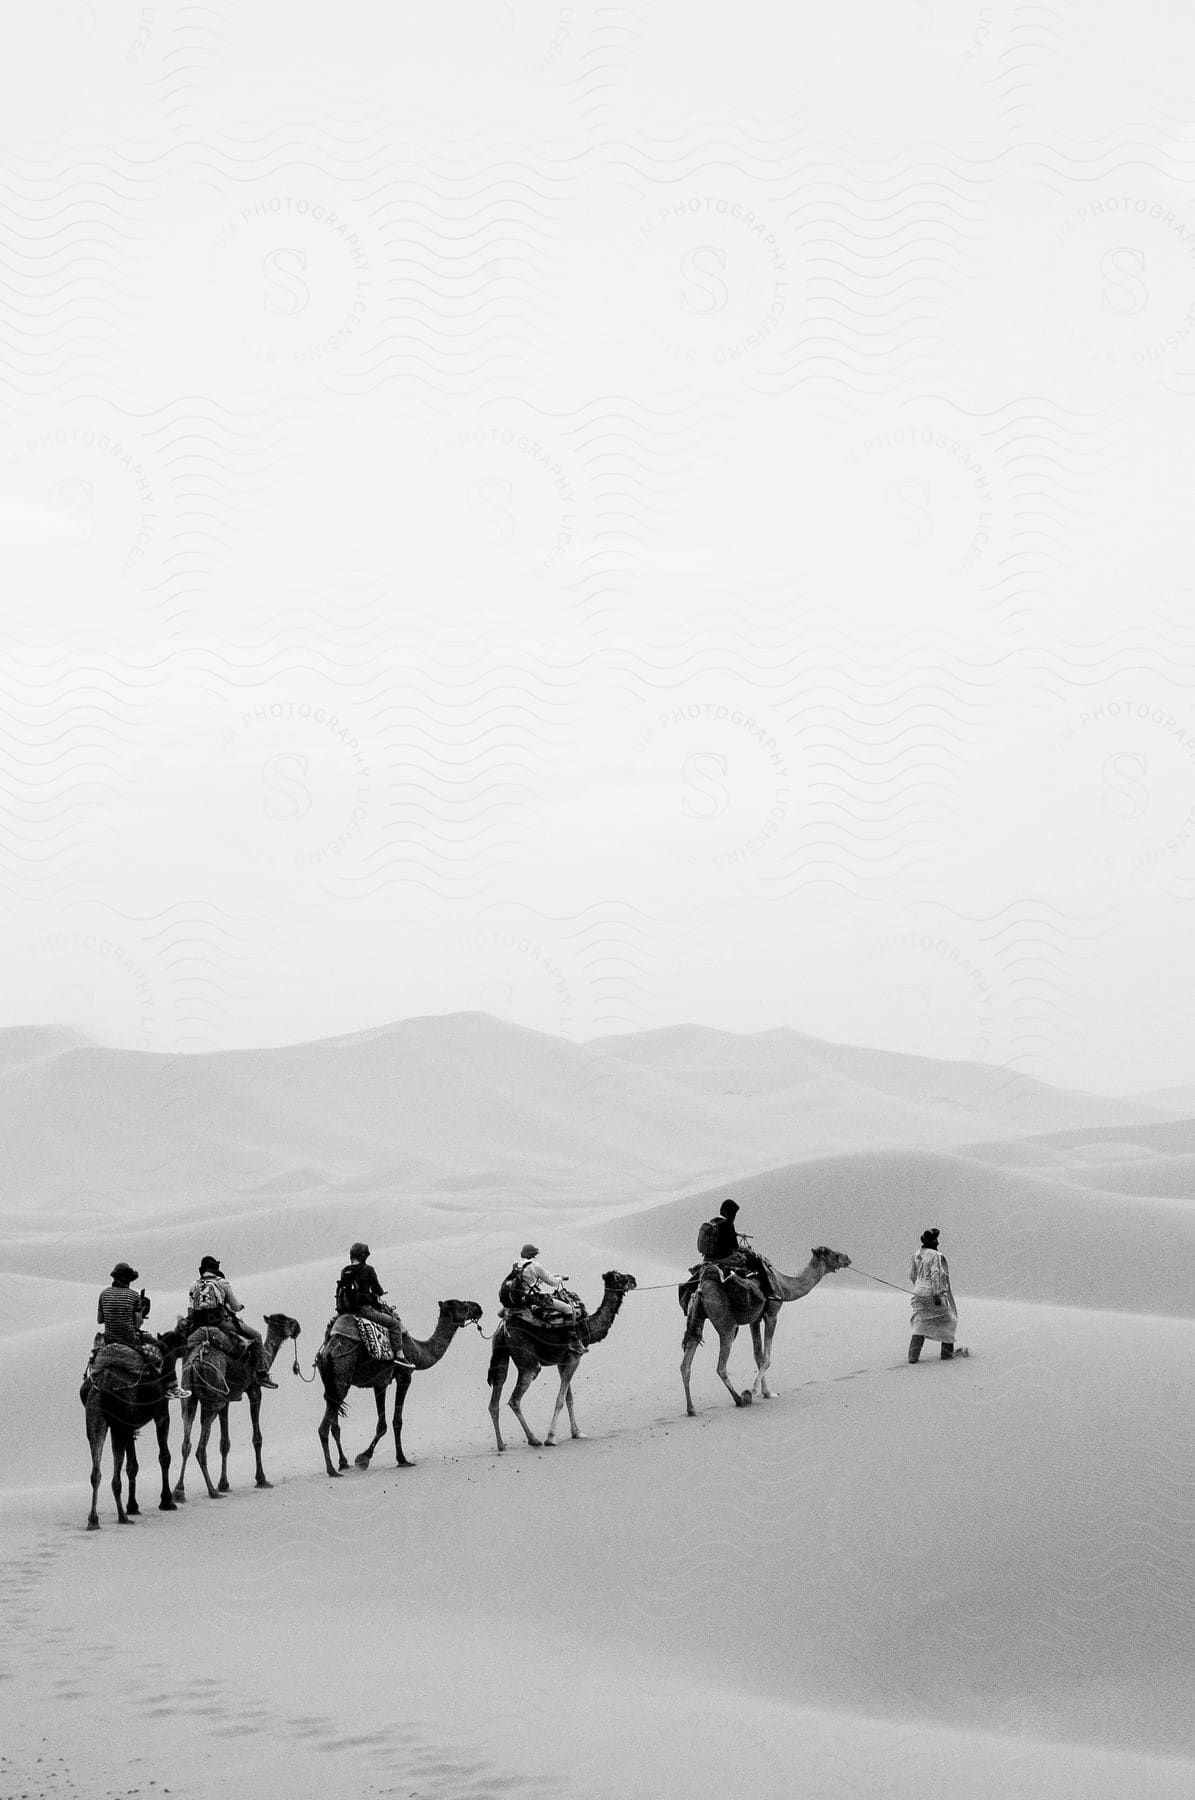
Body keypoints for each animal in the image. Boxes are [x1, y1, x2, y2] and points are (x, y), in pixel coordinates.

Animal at [81, 1324, 184, 1533]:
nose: (172, 1384)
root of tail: (103, 1385)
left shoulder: (130, 1426)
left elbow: (132, 1466)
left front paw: (133, 1506)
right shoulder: (161, 1415)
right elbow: (164, 1457)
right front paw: (167, 1501)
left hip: (96, 1418)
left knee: (96, 1471)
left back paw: (94, 1520)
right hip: (118, 1425)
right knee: (114, 1477)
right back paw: (122, 1517)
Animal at [173, 1310, 300, 1504]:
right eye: (285, 1320)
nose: (298, 1326)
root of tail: (198, 1360)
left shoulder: (226, 1401)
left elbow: (224, 1443)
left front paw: (224, 1484)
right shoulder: (254, 1390)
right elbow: (257, 1438)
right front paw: (261, 1480)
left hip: (189, 1396)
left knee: (186, 1443)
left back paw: (179, 1492)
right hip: (212, 1399)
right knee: (200, 1448)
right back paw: (212, 1492)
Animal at [320, 1296, 489, 1476]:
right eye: (462, 1304)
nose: (478, 1308)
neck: (417, 1350)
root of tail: (327, 1352)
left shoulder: (380, 1382)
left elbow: (382, 1424)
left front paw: (364, 1458)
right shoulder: (404, 1376)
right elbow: (396, 1421)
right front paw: (399, 1459)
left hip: (333, 1385)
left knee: (334, 1424)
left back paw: (343, 1463)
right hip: (342, 1376)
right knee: (325, 1426)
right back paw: (332, 1471)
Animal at [485, 1267, 640, 1447]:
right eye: (620, 1277)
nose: (634, 1279)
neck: (587, 1326)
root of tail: (503, 1332)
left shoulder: (562, 1361)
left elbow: (568, 1398)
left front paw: (577, 1433)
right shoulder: (575, 1356)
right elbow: (560, 1399)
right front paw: (551, 1438)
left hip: (501, 1356)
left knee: (495, 1397)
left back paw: (501, 1445)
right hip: (527, 1361)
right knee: (515, 1398)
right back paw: (533, 1439)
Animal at [676, 1245, 853, 1411]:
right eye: (831, 1252)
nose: (847, 1258)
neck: (783, 1284)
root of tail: (701, 1288)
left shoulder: (755, 1319)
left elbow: (758, 1354)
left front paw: (767, 1392)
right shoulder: (771, 1314)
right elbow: (766, 1358)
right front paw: (754, 1390)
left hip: (697, 1317)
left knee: (686, 1364)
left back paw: (692, 1409)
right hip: (724, 1319)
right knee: (721, 1366)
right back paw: (741, 1399)